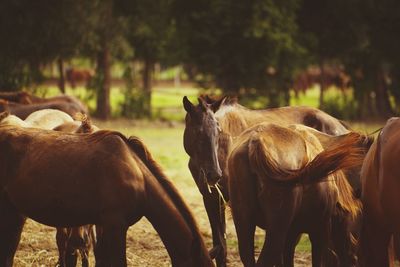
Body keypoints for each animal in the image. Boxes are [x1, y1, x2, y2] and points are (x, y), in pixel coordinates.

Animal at [227, 124, 368, 267]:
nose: (353, 258)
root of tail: (256, 141)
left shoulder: (293, 233)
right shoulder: (319, 229)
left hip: (244, 220)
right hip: (277, 228)